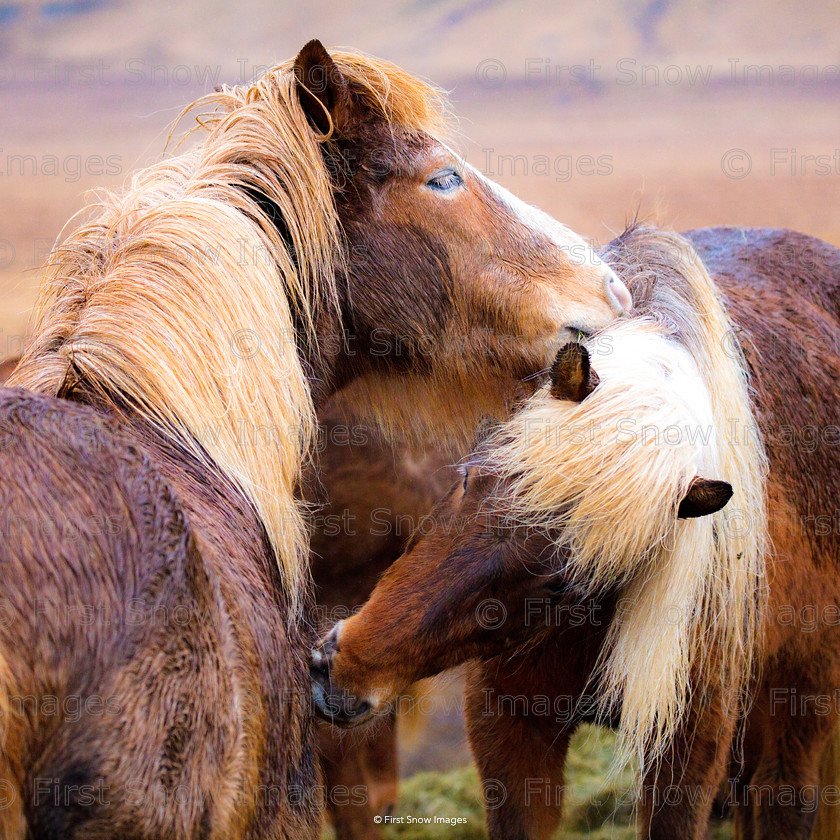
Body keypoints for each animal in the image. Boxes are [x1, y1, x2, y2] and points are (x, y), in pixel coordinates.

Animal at [312, 225, 840, 840]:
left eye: (560, 582)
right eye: (469, 477)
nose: (341, 673)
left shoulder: (688, 749)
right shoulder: (510, 725)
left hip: (796, 718)